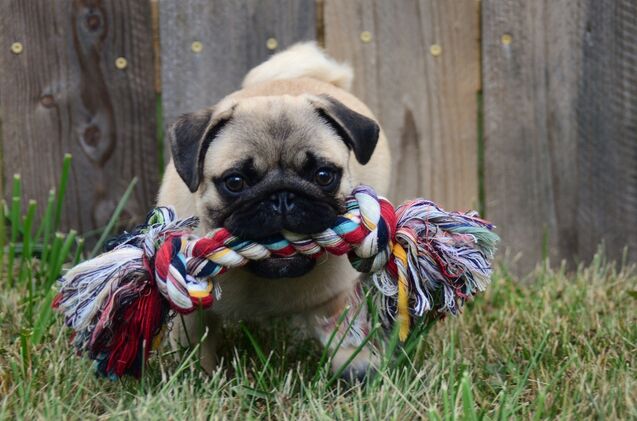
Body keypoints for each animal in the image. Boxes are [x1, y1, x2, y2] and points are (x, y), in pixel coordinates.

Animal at [157, 42, 390, 380]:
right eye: (235, 182)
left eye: (323, 176)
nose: (282, 196)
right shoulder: (190, 314)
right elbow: (195, 349)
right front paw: (197, 378)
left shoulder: (335, 299)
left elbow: (346, 340)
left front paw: (359, 373)